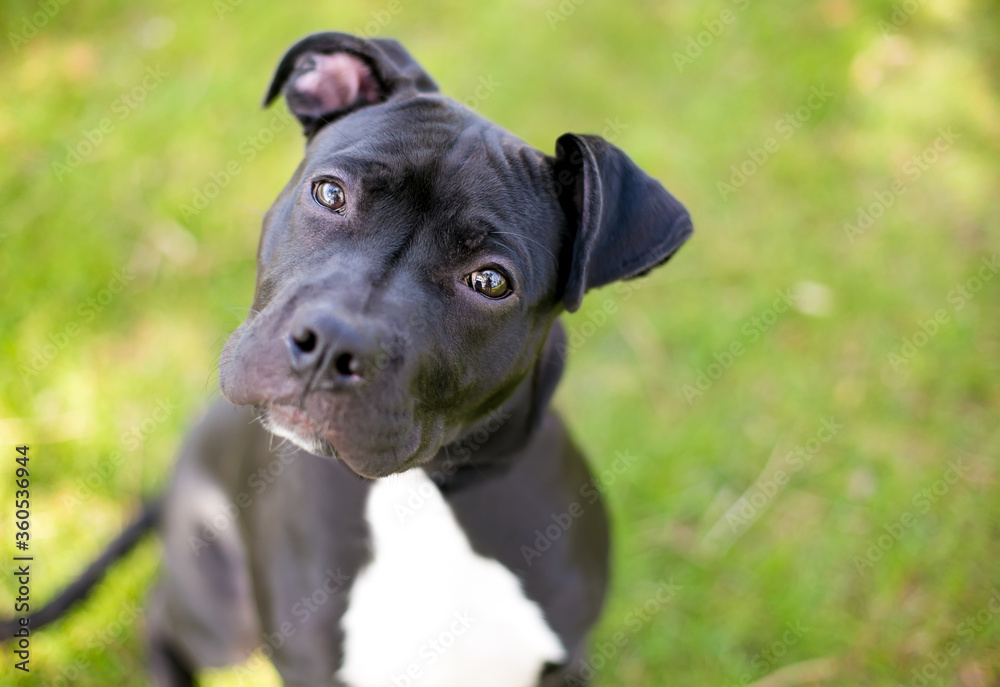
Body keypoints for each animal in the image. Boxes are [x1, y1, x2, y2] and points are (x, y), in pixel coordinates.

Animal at [0, 32, 692, 687]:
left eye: (491, 282)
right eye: (329, 193)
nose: (331, 343)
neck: (419, 493)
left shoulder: (566, 659)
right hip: (222, 619)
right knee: (160, 617)